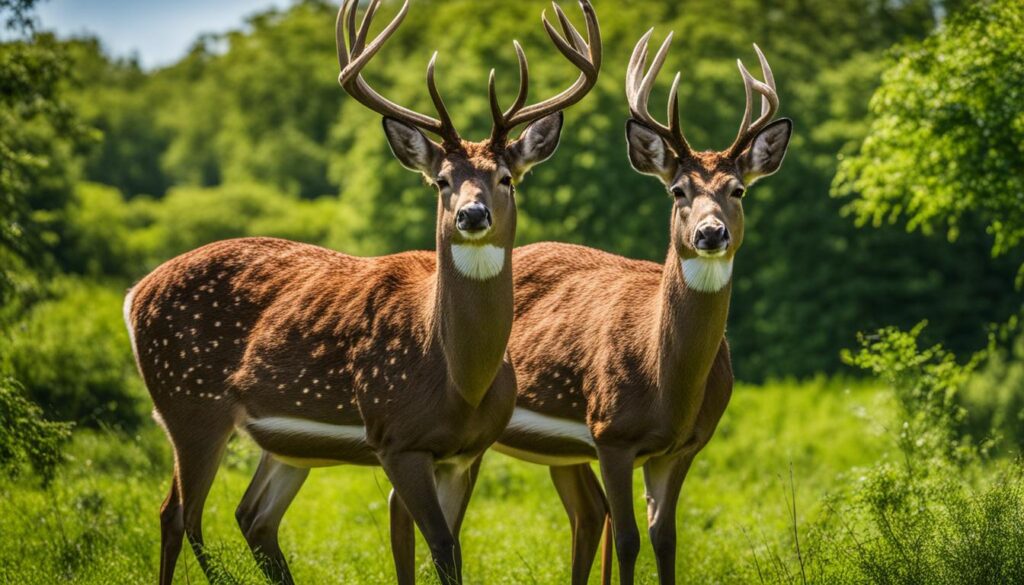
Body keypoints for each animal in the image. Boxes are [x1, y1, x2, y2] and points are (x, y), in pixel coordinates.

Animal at [121, 0, 600, 583]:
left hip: (276, 441)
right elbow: (440, 546)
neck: (460, 379)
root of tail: (134, 294)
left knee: (252, 517)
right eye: (441, 179)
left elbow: (449, 550)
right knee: (177, 515)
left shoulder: (468, 452)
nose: (471, 214)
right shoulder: (395, 437)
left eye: (507, 177)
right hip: (187, 401)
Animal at [486, 32, 793, 584]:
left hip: (559, 450)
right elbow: (628, 539)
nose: (710, 233)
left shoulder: (684, 445)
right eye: (678, 189)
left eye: (738, 190)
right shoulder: (611, 433)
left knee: (585, 515)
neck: (664, 381)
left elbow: (665, 538)